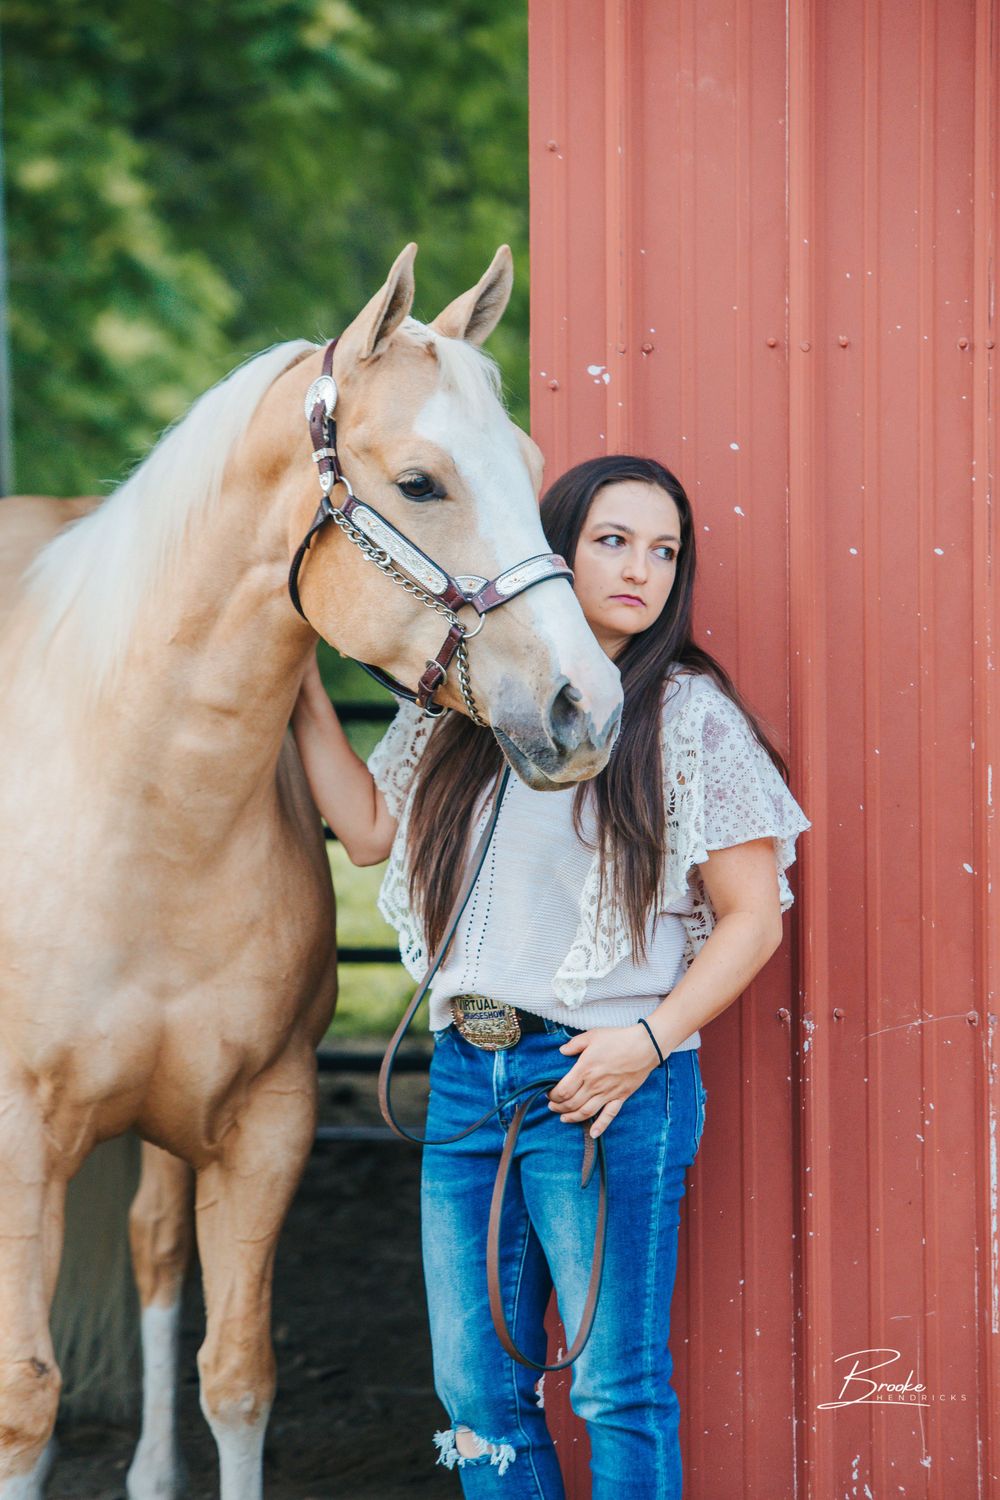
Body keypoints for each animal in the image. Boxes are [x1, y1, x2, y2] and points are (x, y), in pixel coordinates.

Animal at [0, 242, 623, 1499]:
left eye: (531, 467)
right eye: (422, 483)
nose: (585, 709)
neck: (140, 807)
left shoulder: (265, 1121)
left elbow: (238, 1377)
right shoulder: (20, 1137)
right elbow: (25, 1404)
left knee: (154, 1248)